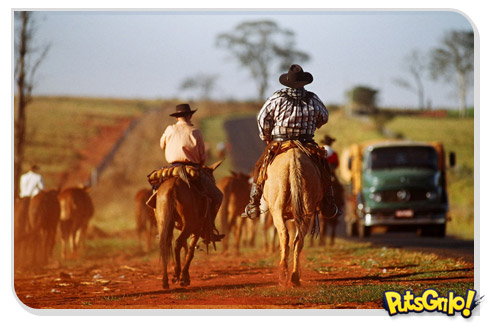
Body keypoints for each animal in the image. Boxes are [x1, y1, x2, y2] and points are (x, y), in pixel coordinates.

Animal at [262, 147, 328, 286]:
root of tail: (293, 161)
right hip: (306, 210)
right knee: (299, 240)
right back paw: (295, 277)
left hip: (277, 209)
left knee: (284, 235)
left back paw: (283, 274)